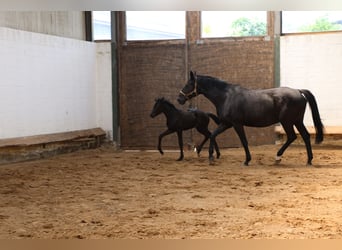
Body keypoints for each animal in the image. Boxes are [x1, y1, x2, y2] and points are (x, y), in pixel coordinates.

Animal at [178, 71, 324, 165]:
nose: (179, 99)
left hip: (287, 122)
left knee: (292, 137)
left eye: (188, 84)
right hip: (297, 121)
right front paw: (210, 156)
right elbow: (213, 135)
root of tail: (298, 91)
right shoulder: (226, 124)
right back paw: (309, 160)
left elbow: (244, 141)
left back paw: (278, 157)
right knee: (305, 136)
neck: (226, 97)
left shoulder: (237, 124)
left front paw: (247, 160)